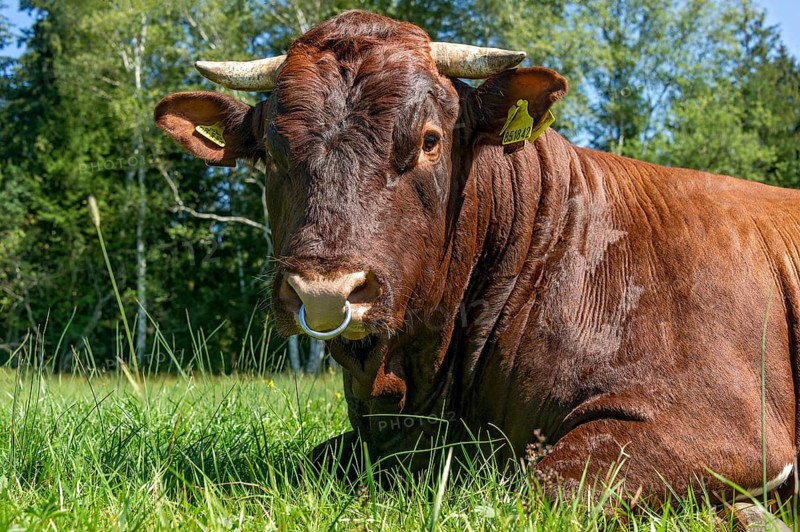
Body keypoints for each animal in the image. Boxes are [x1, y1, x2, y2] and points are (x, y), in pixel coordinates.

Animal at [155, 10, 800, 507]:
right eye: (270, 151)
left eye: (430, 140)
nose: (325, 290)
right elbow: (307, 463)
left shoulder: (728, 426)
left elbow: (547, 484)